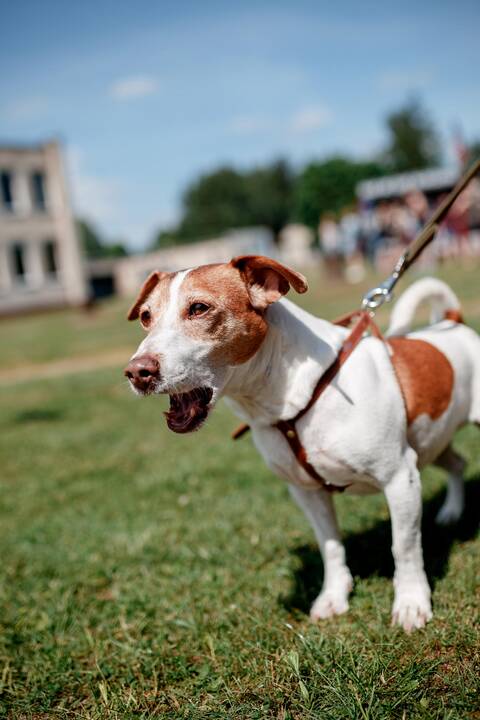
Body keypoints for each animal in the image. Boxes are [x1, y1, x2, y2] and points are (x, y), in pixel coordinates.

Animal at [124, 256, 480, 632]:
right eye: (146, 316)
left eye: (199, 308)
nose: (136, 372)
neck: (294, 395)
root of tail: (453, 322)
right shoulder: (306, 491)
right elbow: (330, 546)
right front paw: (334, 596)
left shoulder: (399, 477)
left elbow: (405, 546)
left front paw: (411, 603)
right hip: (431, 443)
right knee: (457, 463)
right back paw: (452, 512)